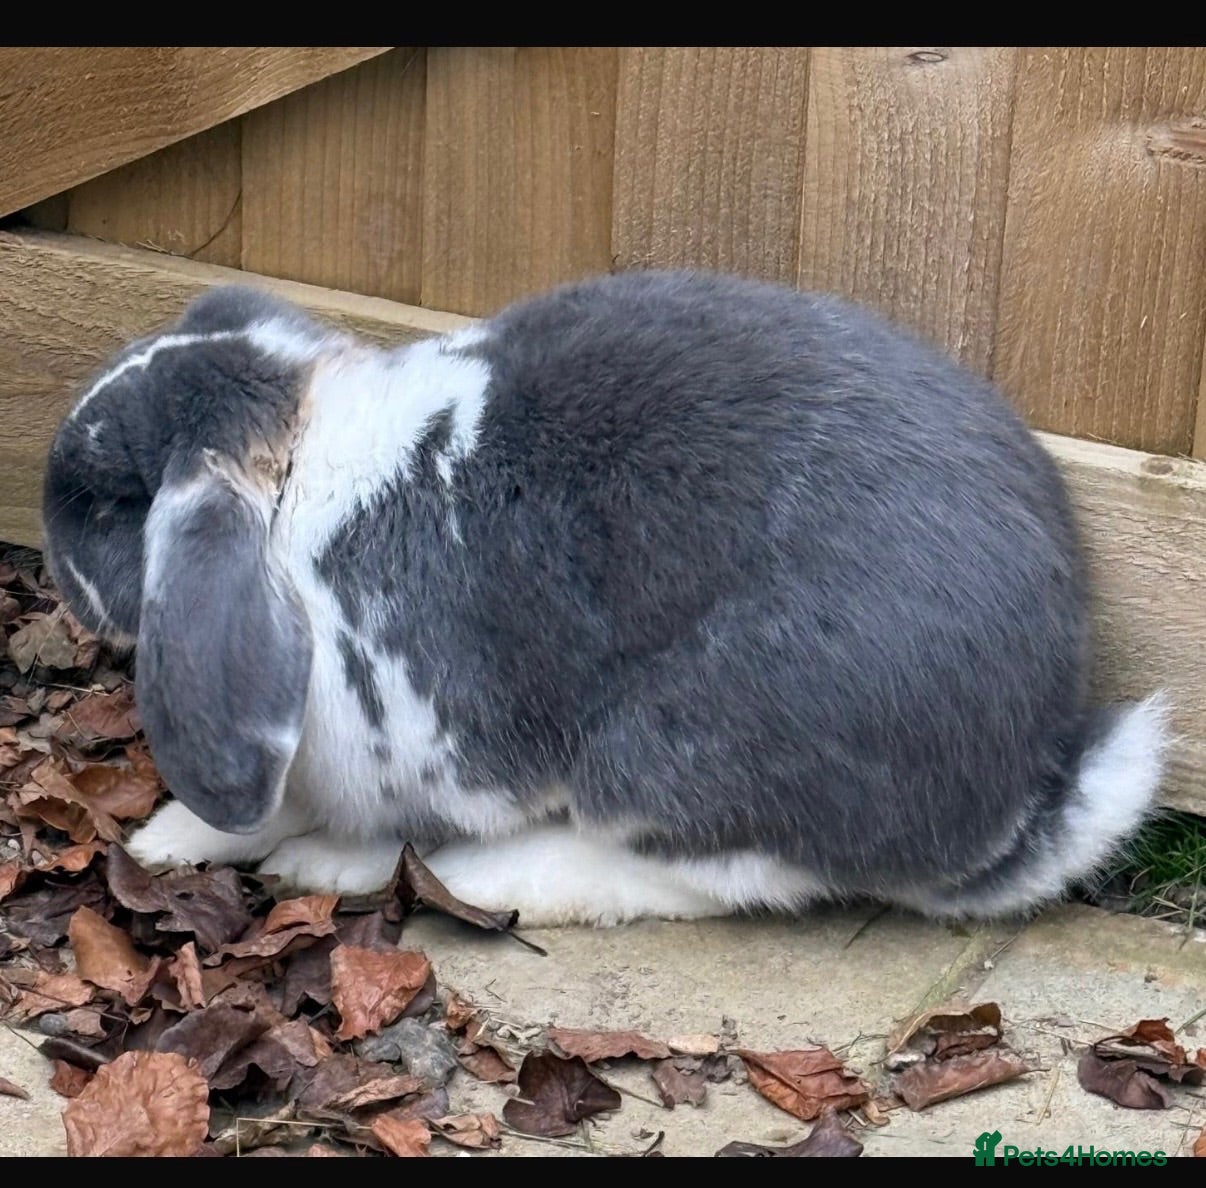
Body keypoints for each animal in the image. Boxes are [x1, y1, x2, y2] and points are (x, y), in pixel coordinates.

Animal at [41, 271, 1168, 927]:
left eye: (109, 500)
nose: (49, 548)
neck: (300, 483)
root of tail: (1017, 797)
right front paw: (170, 840)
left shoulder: (412, 738)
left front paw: (299, 855)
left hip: (672, 754)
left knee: (708, 879)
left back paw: (462, 880)